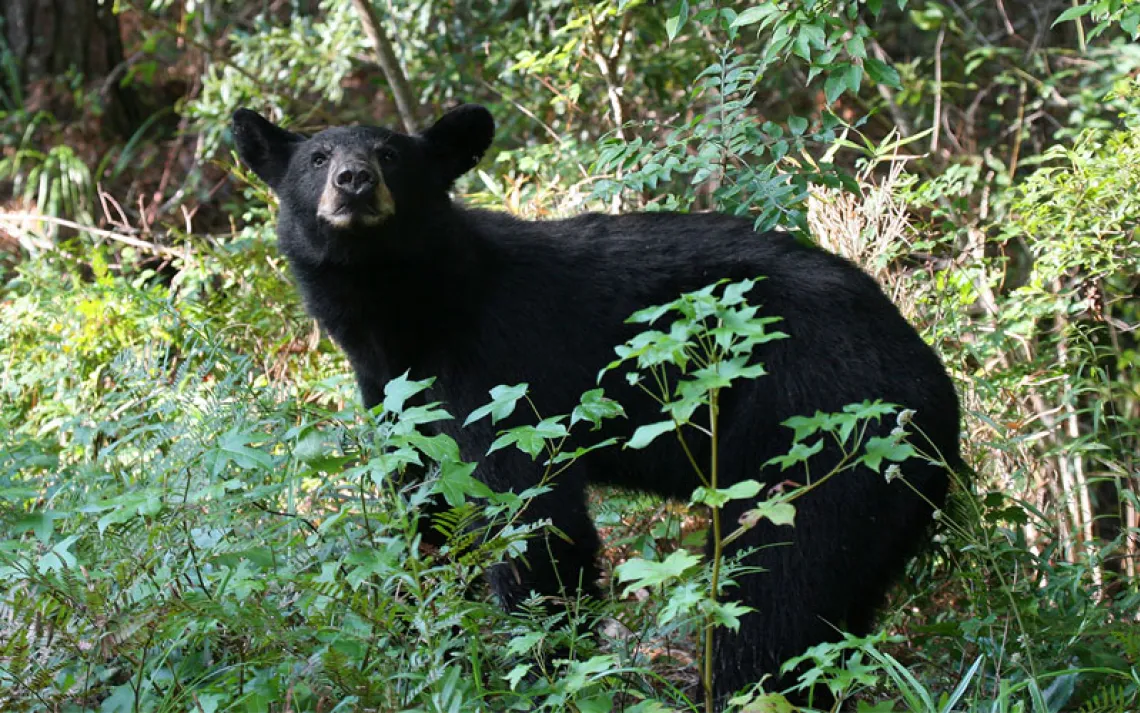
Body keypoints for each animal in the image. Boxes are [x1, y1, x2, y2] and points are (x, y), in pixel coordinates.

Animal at [231, 103, 962, 708]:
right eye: (316, 158)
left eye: (390, 155)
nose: (353, 181)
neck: (406, 313)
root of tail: (934, 389)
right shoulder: (397, 401)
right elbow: (430, 519)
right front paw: (439, 653)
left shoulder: (500, 372)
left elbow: (536, 522)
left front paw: (545, 674)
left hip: (822, 437)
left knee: (777, 592)